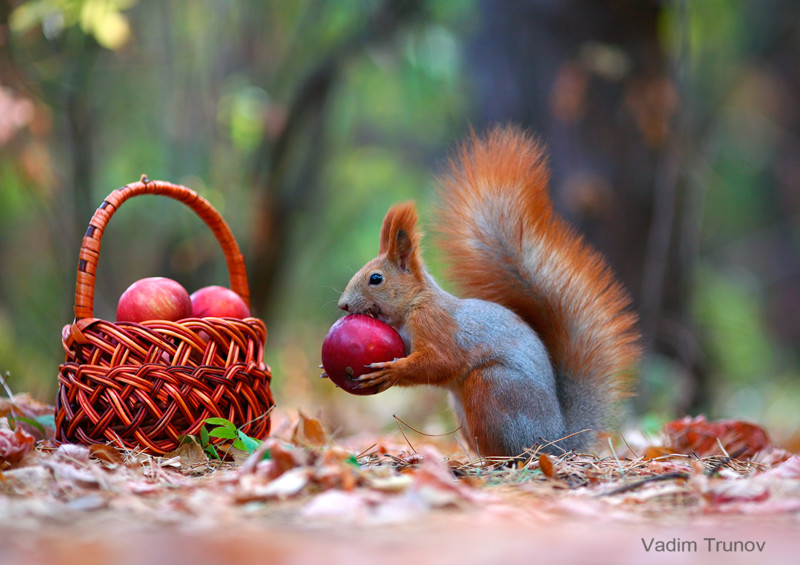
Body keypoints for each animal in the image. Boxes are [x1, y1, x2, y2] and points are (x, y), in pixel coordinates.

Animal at [338, 125, 644, 456]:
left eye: (376, 278)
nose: (343, 305)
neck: (414, 305)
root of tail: (556, 441)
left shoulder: (437, 325)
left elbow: (439, 362)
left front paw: (391, 371)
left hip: (492, 387)